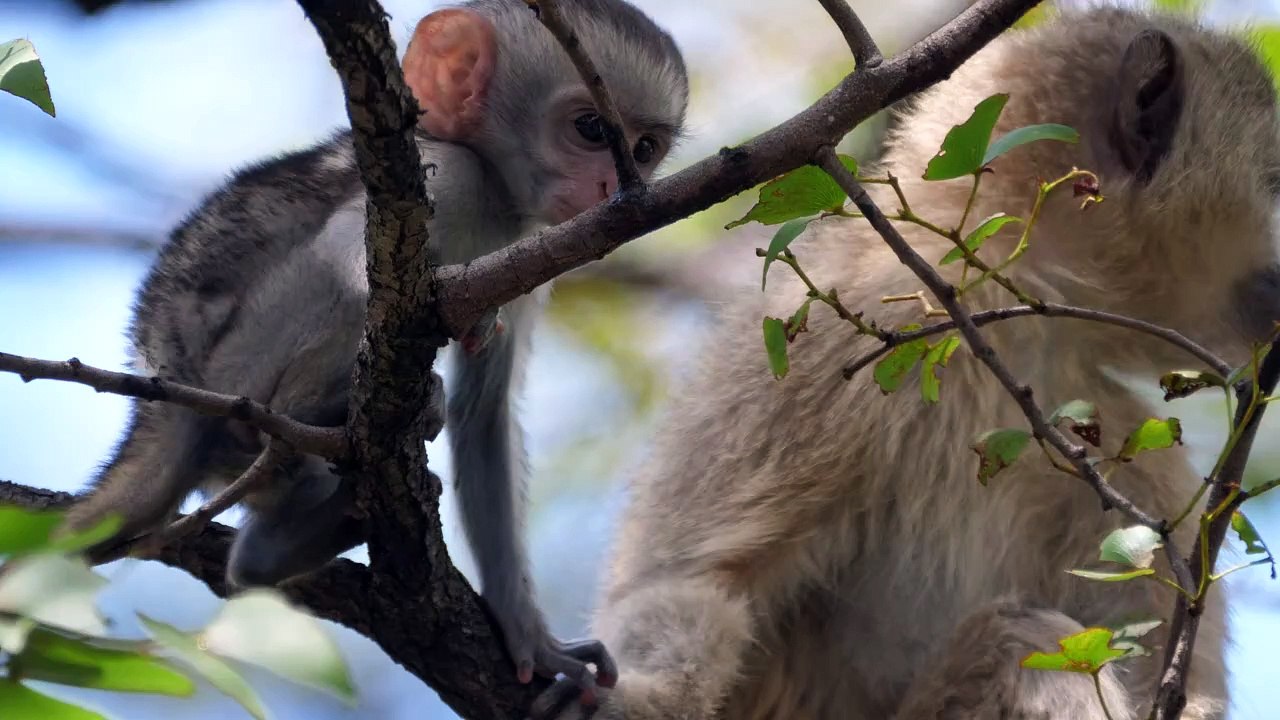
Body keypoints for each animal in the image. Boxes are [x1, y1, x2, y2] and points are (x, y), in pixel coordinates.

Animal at [60, 0, 688, 698]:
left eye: (643, 149)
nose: (611, 186)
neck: (496, 195)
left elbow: (484, 413)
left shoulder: (537, 242)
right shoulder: (450, 171)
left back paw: (270, 553)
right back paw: (315, 415)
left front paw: (532, 640)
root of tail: (161, 382)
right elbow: (354, 263)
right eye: (590, 129)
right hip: (238, 367)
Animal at [535, 7, 1279, 720]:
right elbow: (697, 582)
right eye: (1276, 182)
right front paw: (645, 696)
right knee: (1022, 644)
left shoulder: (1108, 426)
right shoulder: (837, 334)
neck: (1008, 319)